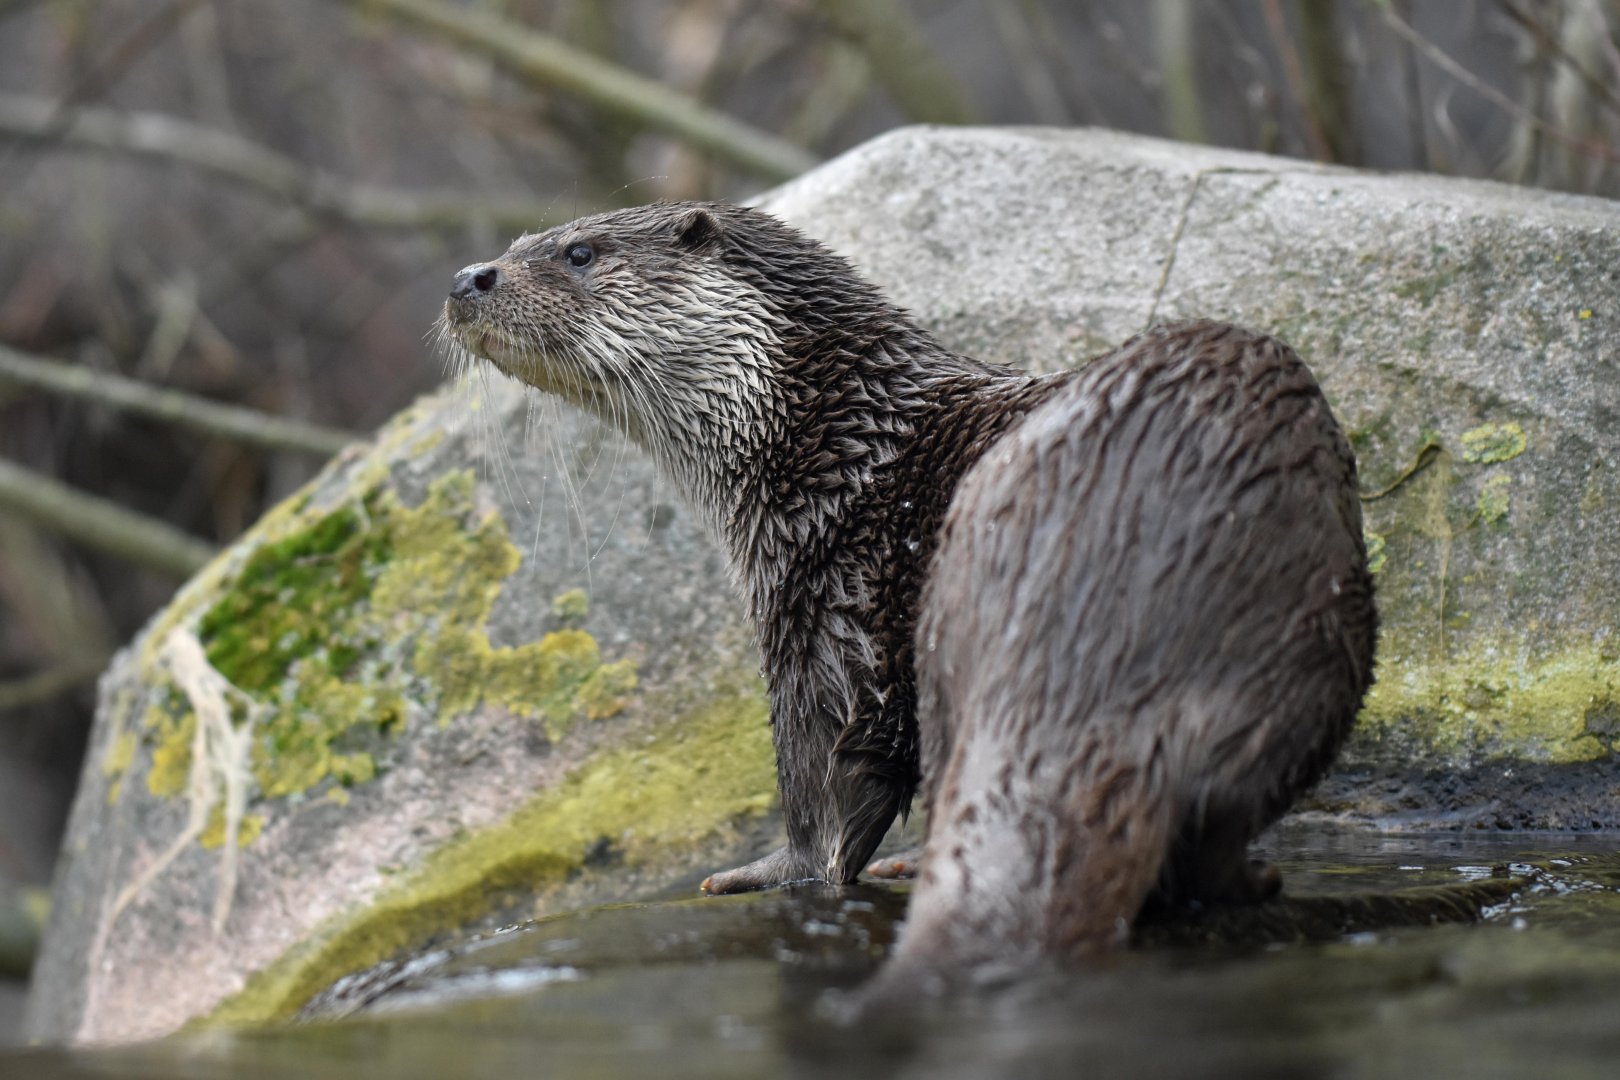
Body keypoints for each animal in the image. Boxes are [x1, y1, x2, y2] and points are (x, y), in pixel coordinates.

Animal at [438, 203, 1376, 959]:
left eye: (579, 252)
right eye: (518, 243)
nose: (466, 277)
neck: (834, 450)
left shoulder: (822, 611)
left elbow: (825, 795)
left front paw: (764, 872)